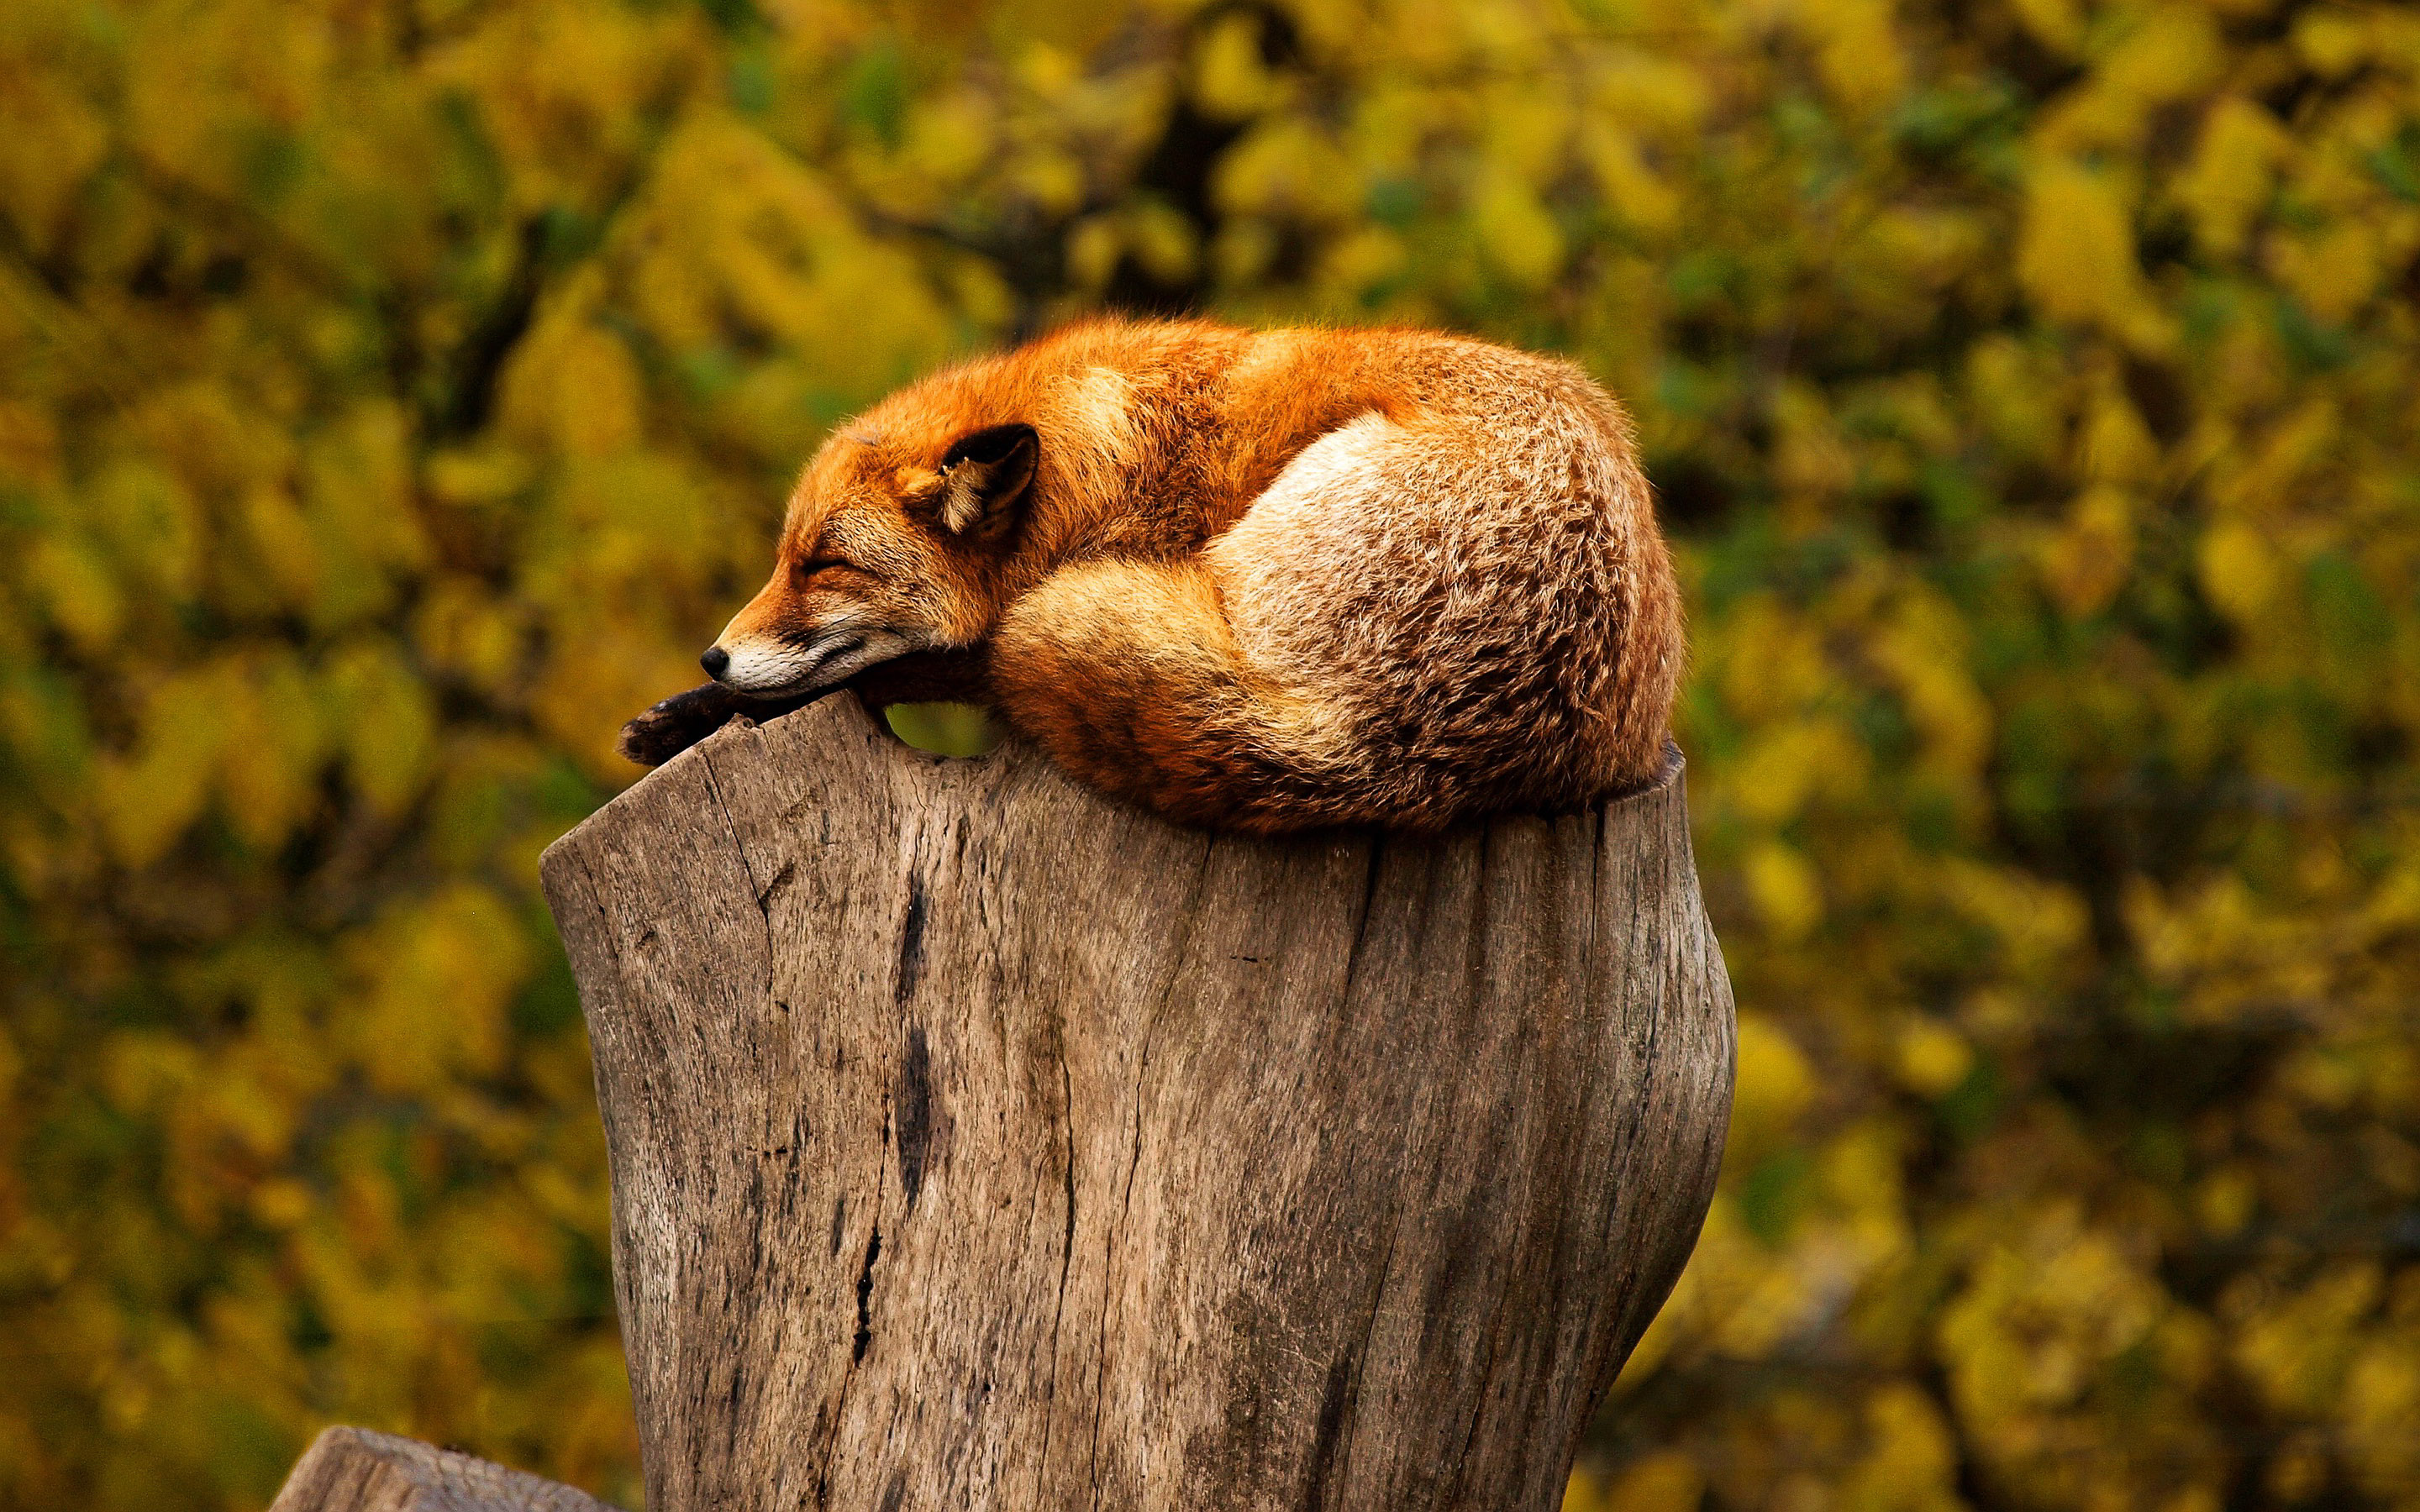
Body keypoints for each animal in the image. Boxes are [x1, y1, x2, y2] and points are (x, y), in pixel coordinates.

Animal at [614, 319, 1694, 837]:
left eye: (825, 565)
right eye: (783, 558)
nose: (712, 658)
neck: (1099, 470)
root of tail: (1385, 744)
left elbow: (901, 668)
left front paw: (697, 714)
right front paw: (685, 714)